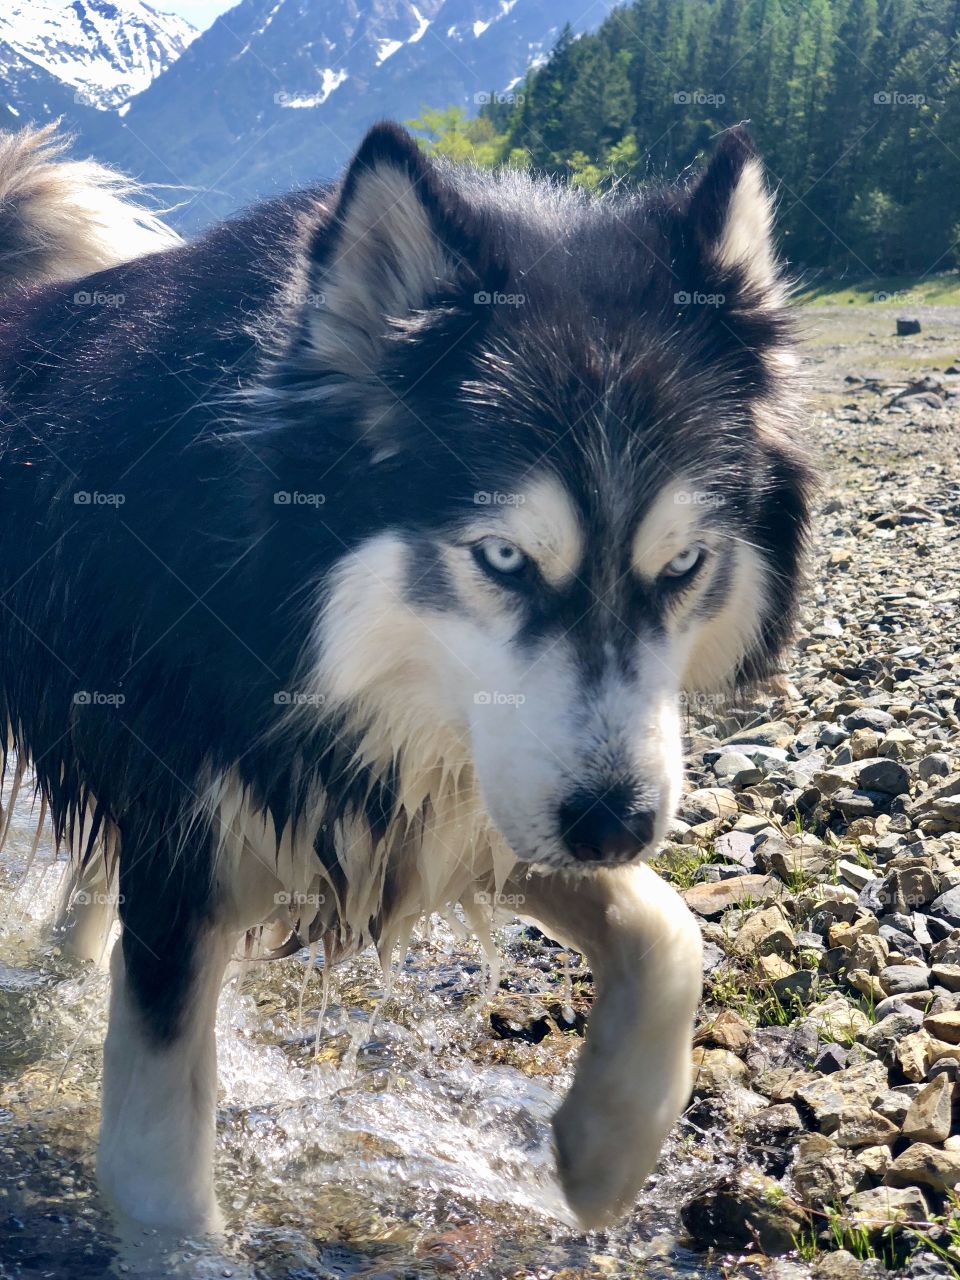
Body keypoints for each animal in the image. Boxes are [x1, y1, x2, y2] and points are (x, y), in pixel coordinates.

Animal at [0, 124, 814, 1233]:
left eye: (684, 564)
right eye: (504, 557)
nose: (617, 826)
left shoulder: (457, 798)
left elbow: (668, 925)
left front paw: (607, 1145)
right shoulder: (198, 850)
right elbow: (156, 1177)